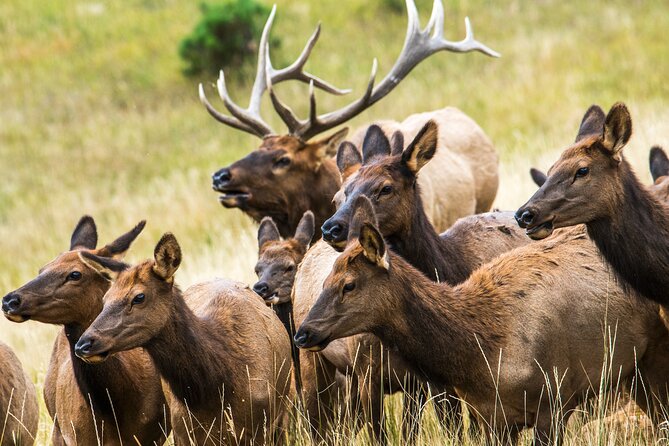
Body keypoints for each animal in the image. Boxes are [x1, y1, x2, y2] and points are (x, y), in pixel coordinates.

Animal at [1, 217, 170, 446]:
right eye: (42, 269)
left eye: (75, 274)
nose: (10, 300)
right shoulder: (78, 436)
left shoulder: (155, 434)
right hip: (56, 426)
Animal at [298, 199, 669, 446]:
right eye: (326, 280)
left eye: (349, 284)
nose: (304, 332)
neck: (484, 355)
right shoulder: (490, 417)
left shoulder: (556, 400)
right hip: (633, 371)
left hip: (655, 356)